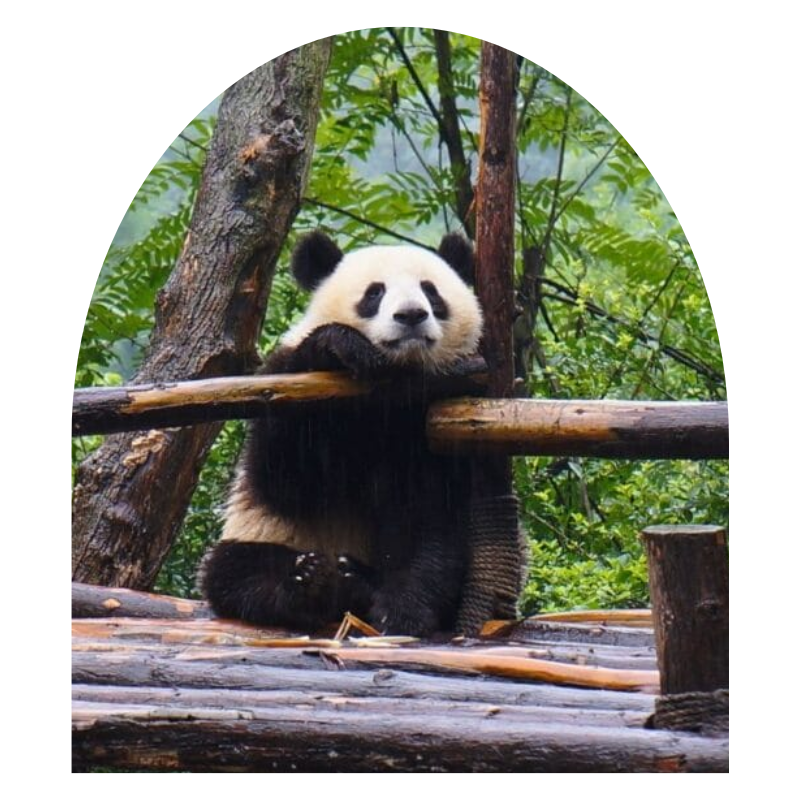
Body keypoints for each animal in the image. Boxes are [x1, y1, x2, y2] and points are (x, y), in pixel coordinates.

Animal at [201, 230, 483, 636]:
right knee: (235, 570)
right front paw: (338, 346)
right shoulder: (287, 381)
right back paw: (309, 584)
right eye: (374, 293)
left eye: (431, 292)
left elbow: (429, 524)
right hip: (263, 533)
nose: (411, 315)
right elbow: (285, 480)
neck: (392, 380)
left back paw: (356, 582)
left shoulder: (439, 417)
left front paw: (401, 612)